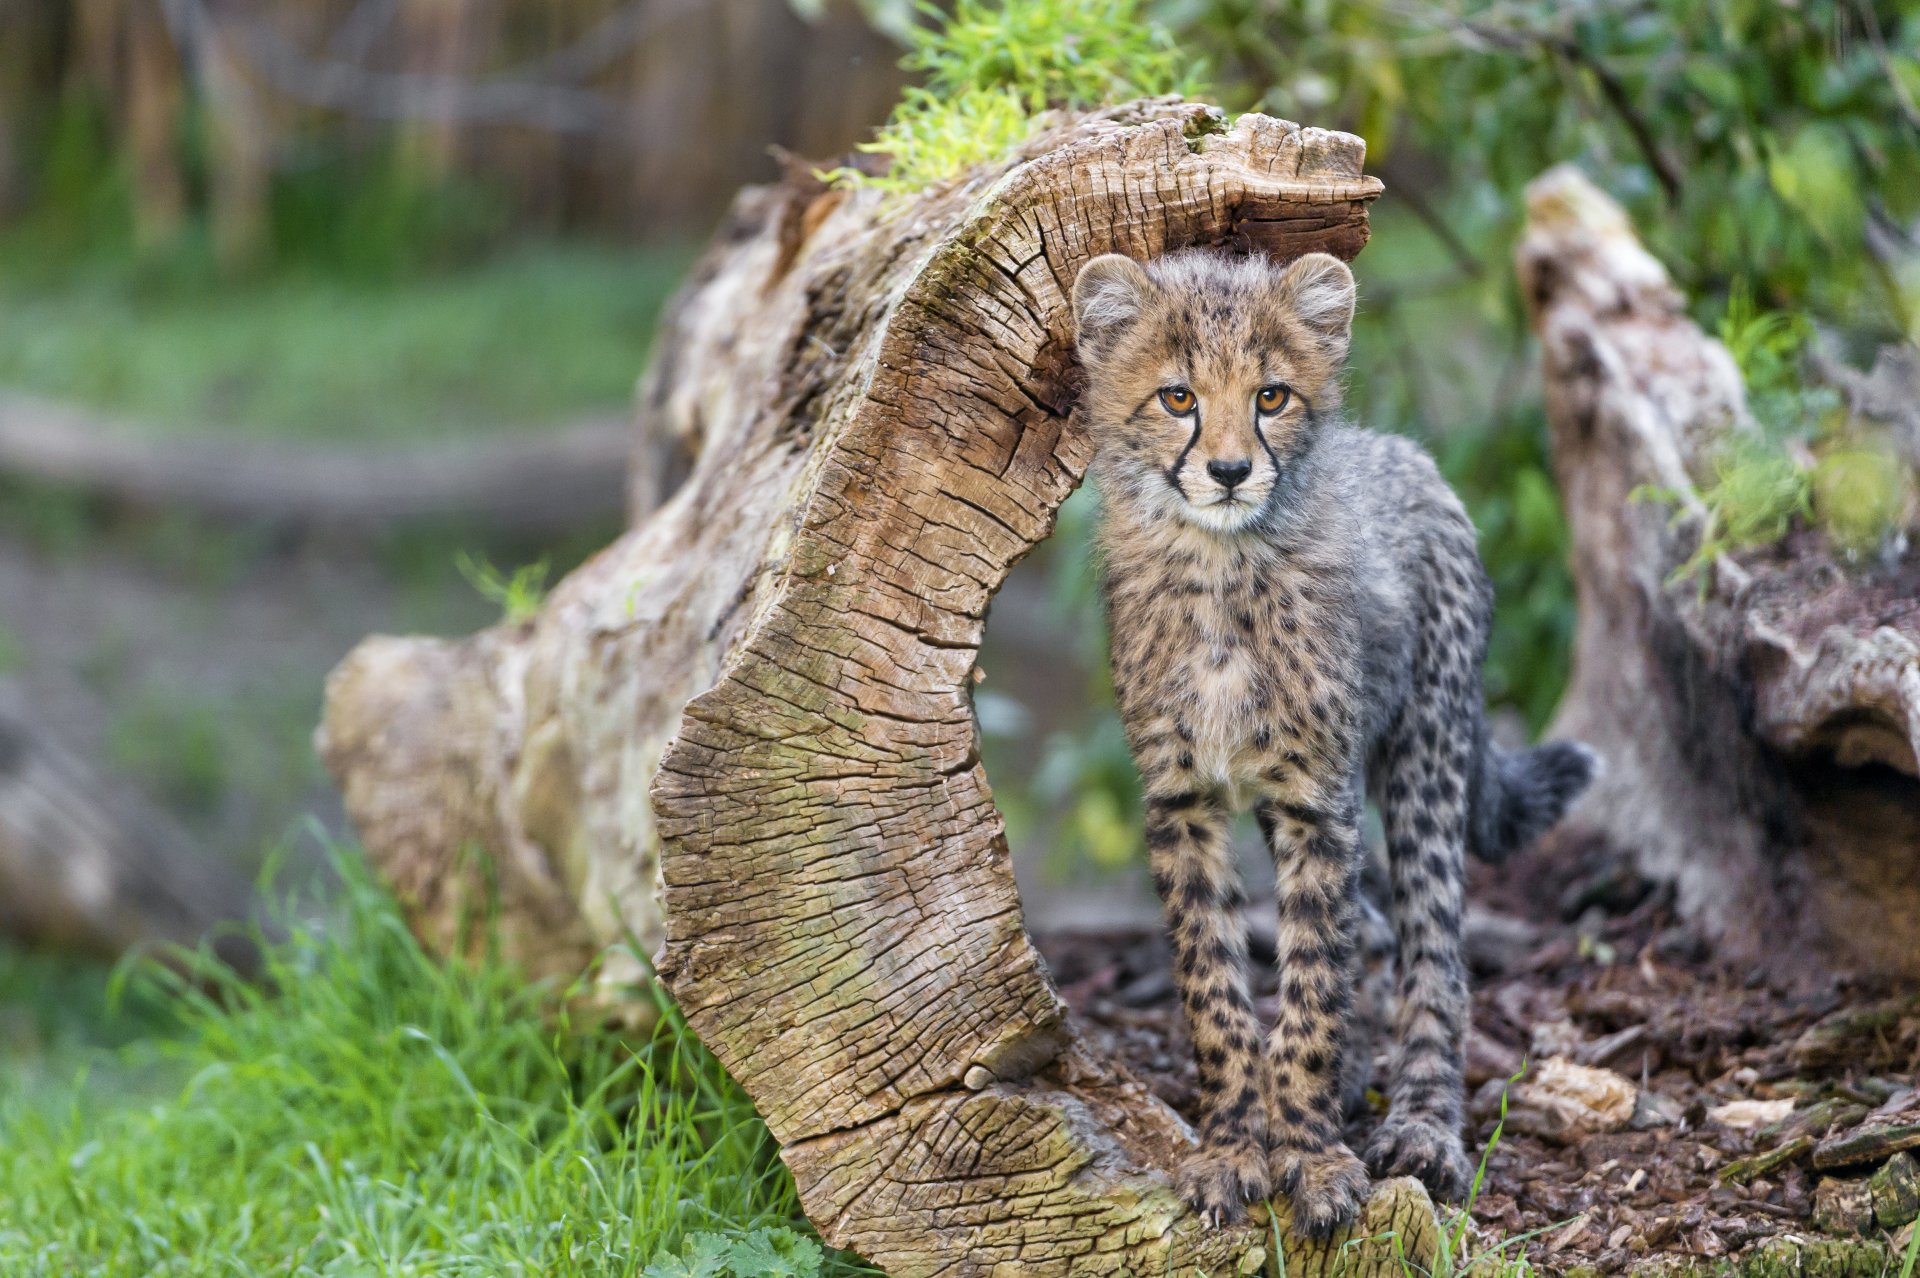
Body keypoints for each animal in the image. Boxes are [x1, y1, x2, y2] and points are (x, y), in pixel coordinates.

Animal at [1069, 247, 1596, 1235]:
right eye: (1176, 397)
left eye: (1271, 396)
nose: (1230, 470)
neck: (1220, 572)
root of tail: (1404, 451)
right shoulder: (1185, 799)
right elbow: (1214, 988)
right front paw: (1235, 1148)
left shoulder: (1320, 799)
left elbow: (1312, 988)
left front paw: (1312, 1160)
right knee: (1378, 932)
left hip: (1426, 754)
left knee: (1433, 951)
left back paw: (1424, 1128)